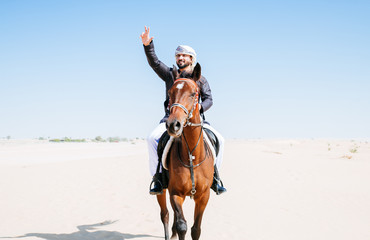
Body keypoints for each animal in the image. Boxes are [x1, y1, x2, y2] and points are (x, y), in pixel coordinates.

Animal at [155, 63, 214, 240]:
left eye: (194, 93)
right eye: (170, 93)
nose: (173, 125)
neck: (192, 155)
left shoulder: (203, 196)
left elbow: (196, 229)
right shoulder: (175, 193)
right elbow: (182, 226)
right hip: (162, 190)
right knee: (166, 214)